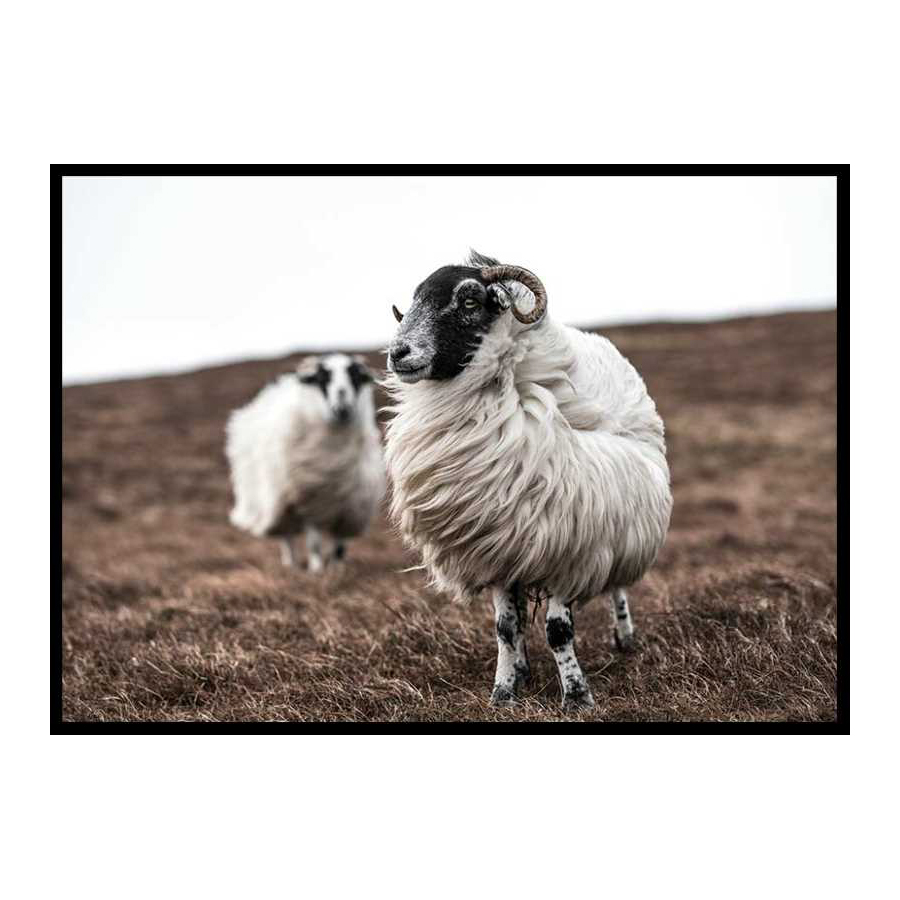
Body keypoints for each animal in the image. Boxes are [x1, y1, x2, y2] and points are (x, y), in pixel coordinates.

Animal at [226, 353, 385, 572]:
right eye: (322, 378)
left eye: (355, 377)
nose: (342, 409)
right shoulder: (309, 502)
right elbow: (314, 542)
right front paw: (317, 569)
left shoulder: (349, 506)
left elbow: (339, 545)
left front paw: (337, 570)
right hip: (279, 502)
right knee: (287, 537)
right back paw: (291, 565)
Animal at [384, 251, 672, 709]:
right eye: (414, 300)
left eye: (469, 301)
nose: (398, 353)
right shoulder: (499, 545)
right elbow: (505, 628)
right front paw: (503, 692)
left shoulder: (568, 545)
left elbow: (558, 630)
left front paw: (576, 697)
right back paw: (522, 668)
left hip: (619, 523)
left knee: (617, 587)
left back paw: (625, 638)